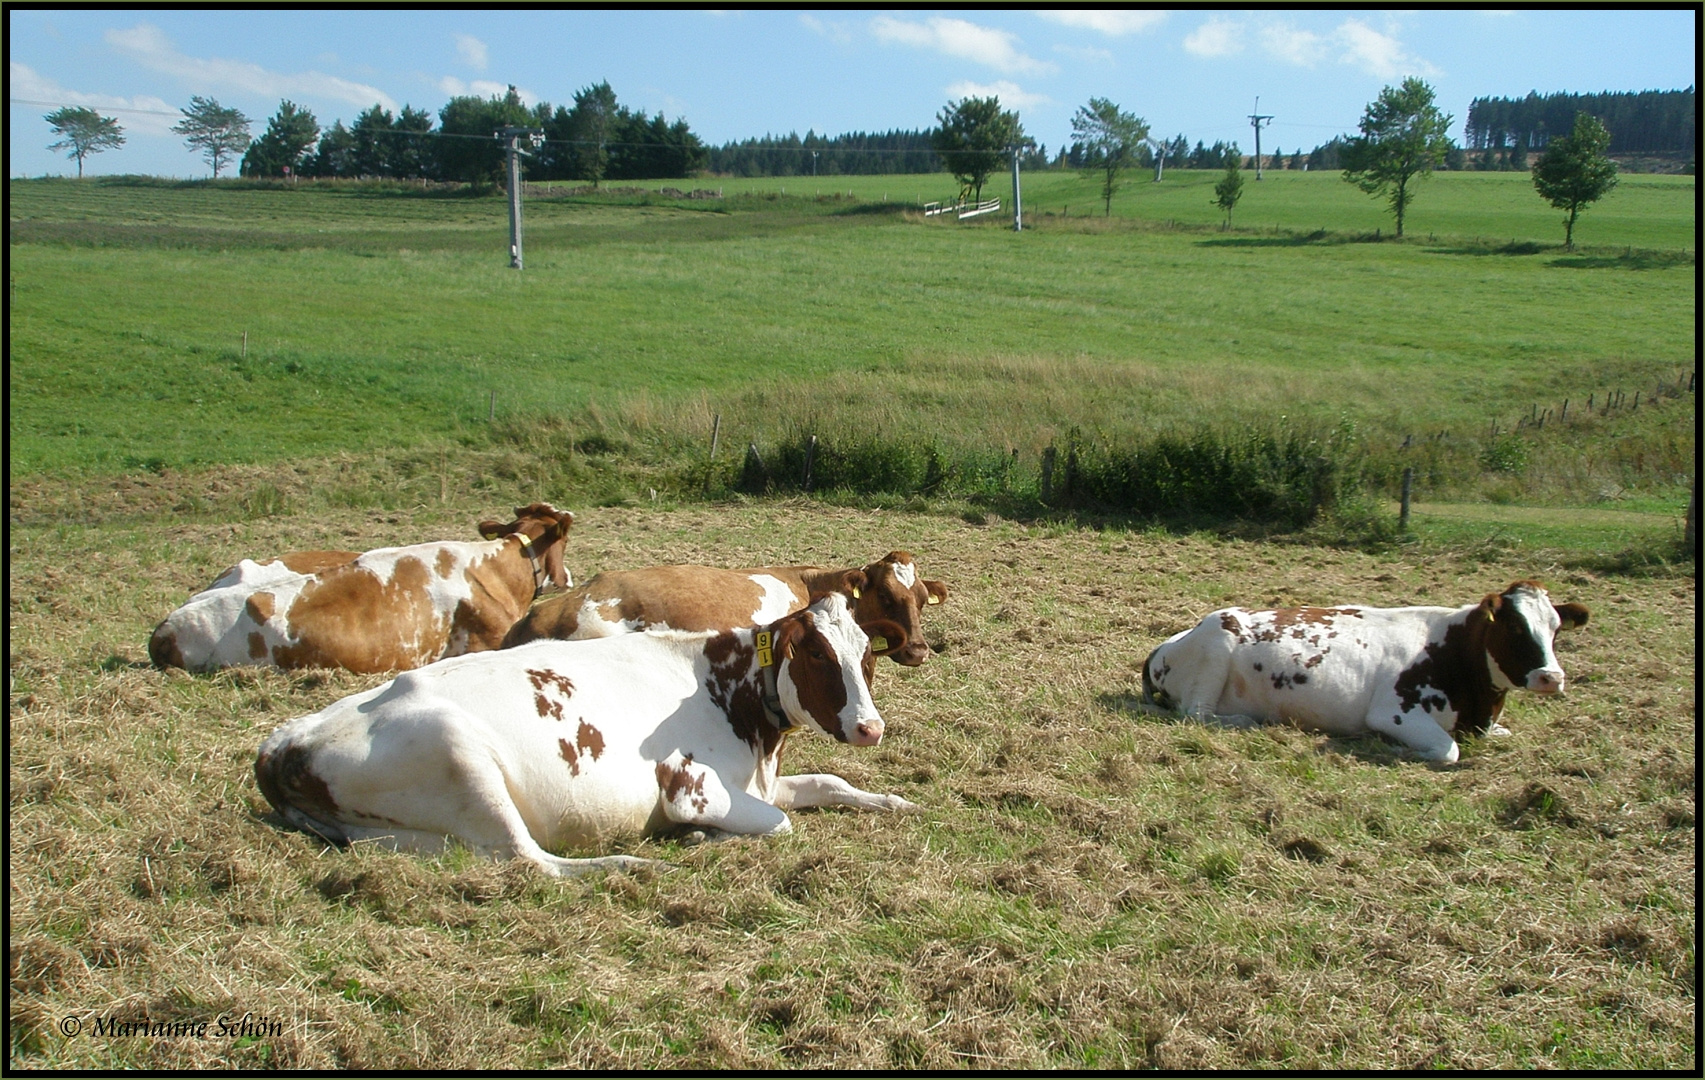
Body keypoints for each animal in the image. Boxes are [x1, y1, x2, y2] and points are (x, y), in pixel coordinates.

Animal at [250, 590, 913, 873]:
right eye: (818, 656)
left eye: (867, 657)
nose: (871, 727)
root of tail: (282, 743)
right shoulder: (692, 786)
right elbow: (779, 824)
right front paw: (701, 838)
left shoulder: (762, 781)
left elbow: (828, 783)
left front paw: (898, 802)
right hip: (461, 757)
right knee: (530, 860)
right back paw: (629, 864)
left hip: (395, 832)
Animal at [1138, 576, 1589, 760]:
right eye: (1513, 626)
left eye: (1556, 628)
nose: (1552, 677)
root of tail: (1171, 641)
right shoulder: (1394, 712)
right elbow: (1448, 750)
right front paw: (1393, 749)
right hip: (1217, 645)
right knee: (1197, 715)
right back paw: (1247, 721)